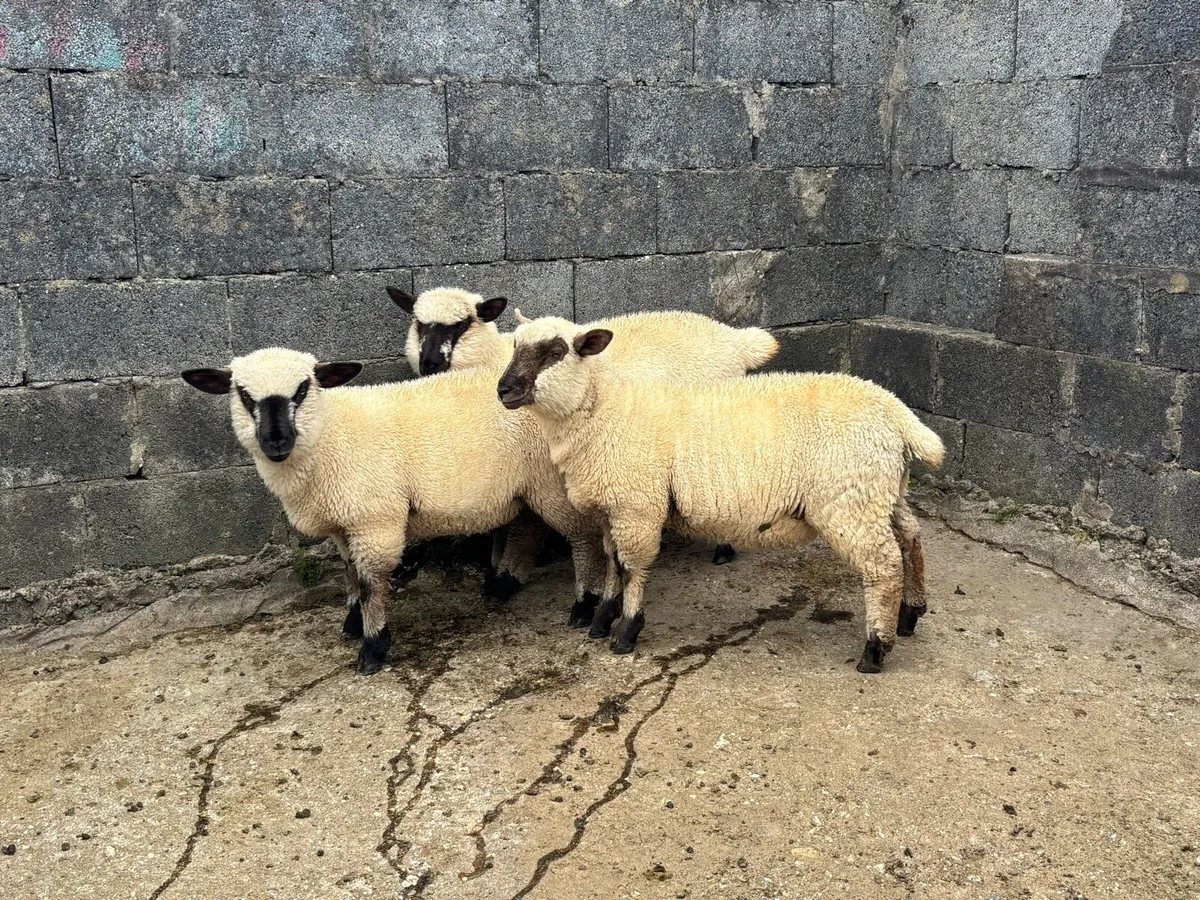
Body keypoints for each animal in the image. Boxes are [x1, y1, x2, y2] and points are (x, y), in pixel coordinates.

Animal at [181, 348, 607, 675]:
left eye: (303, 389)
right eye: (243, 394)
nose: (276, 441)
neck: (331, 436)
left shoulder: (374, 521)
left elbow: (371, 584)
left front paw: (373, 647)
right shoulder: (345, 523)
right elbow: (350, 574)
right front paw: (354, 621)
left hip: (551, 482)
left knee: (582, 537)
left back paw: (584, 605)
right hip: (525, 486)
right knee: (528, 530)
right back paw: (501, 585)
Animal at [388, 285, 779, 565]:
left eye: (462, 324)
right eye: (418, 323)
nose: (430, 362)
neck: (491, 357)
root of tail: (735, 340)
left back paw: (723, 549)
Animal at [496, 316, 946, 674]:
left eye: (556, 351)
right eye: (514, 347)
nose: (503, 389)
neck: (605, 411)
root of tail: (897, 414)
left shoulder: (637, 508)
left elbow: (632, 567)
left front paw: (626, 630)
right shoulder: (613, 510)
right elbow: (613, 564)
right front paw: (602, 618)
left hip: (850, 501)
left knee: (883, 566)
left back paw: (876, 648)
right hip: (881, 492)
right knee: (910, 537)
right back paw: (910, 614)